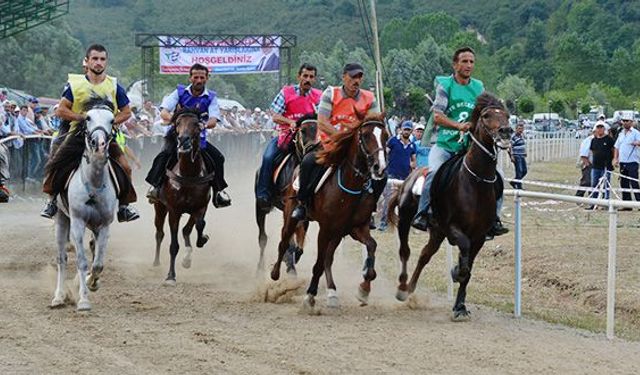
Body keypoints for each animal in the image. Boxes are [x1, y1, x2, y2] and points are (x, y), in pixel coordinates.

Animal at [49, 97, 119, 312]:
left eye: (112, 120)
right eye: (87, 118)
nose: (99, 144)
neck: (93, 184)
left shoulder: (104, 225)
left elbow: (97, 264)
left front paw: (92, 283)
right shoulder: (78, 223)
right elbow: (81, 261)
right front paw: (84, 301)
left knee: (92, 251)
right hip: (62, 219)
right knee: (62, 258)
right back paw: (59, 297)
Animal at [151, 108, 211, 288]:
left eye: (197, 124)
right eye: (177, 123)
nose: (183, 140)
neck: (188, 175)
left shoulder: (201, 206)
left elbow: (199, 224)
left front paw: (201, 240)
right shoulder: (174, 210)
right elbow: (173, 245)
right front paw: (170, 276)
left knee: (187, 230)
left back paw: (187, 257)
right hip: (159, 207)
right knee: (159, 233)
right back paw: (156, 263)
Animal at [252, 114, 318, 274]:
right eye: (303, 131)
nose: (314, 150)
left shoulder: (301, 212)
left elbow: (297, 246)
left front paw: (290, 261)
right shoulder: (288, 206)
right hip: (260, 206)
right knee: (262, 238)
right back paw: (260, 268)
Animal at [268, 112, 388, 312]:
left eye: (386, 136)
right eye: (365, 135)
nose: (380, 167)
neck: (350, 185)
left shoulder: (355, 228)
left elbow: (372, 246)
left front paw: (364, 290)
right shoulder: (325, 230)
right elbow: (317, 264)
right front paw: (309, 296)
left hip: (337, 233)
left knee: (328, 259)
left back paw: (332, 292)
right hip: (291, 214)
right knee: (284, 242)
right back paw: (276, 274)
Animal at [388, 92, 512, 322]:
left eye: (507, 115)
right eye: (486, 115)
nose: (506, 131)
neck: (476, 182)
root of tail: (411, 175)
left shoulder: (479, 236)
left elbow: (469, 267)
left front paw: (460, 307)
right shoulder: (453, 228)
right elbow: (463, 253)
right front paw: (456, 272)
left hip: (436, 232)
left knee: (424, 255)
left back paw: (410, 288)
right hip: (407, 220)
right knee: (405, 251)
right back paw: (402, 287)